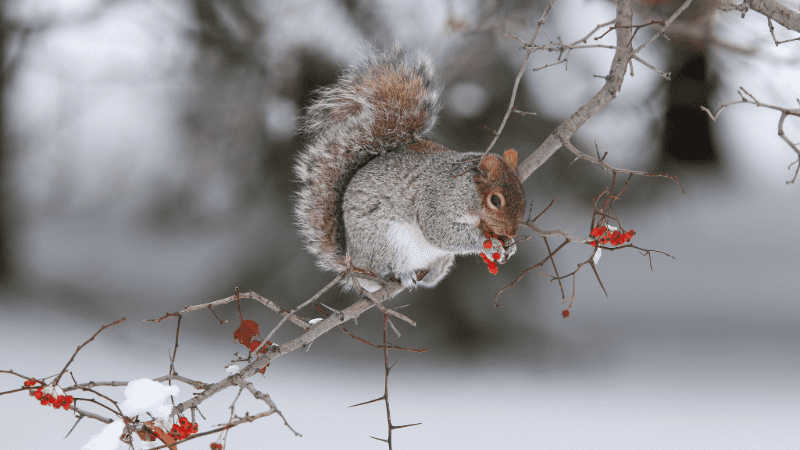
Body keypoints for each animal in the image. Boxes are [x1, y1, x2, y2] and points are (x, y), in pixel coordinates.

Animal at [294, 45, 524, 292]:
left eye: (522, 194)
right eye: (495, 200)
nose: (512, 232)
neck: (468, 192)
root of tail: (355, 263)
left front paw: (510, 245)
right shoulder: (436, 200)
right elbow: (440, 230)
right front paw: (488, 244)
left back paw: (434, 272)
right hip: (385, 242)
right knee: (385, 269)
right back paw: (401, 274)